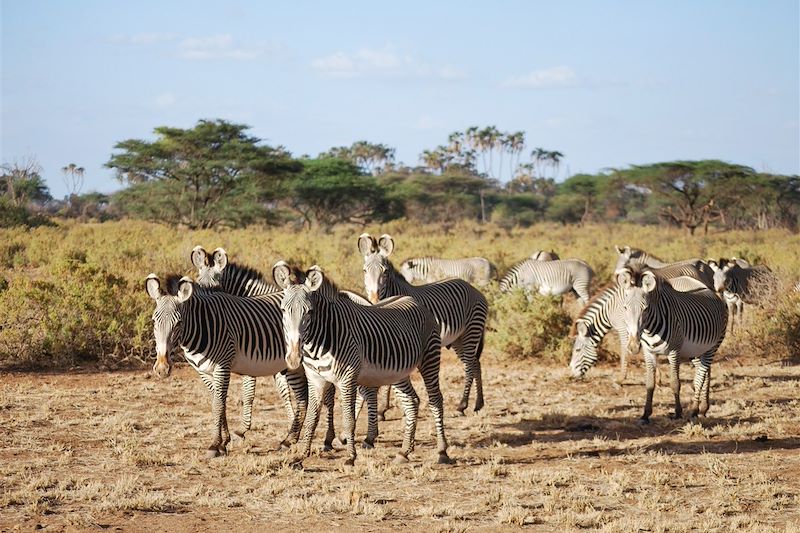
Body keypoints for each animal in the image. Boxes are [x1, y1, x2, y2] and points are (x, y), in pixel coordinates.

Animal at [144, 274, 310, 458]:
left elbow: (218, 405)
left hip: (294, 363)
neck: (203, 325)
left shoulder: (223, 365)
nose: (162, 368)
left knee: (303, 396)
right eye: (153, 321)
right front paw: (224, 442)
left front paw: (215, 445)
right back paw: (292, 438)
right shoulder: (203, 371)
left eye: (179, 323)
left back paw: (290, 440)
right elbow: (220, 402)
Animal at [274, 262, 450, 466]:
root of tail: (412, 299)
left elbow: (349, 420)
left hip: (430, 357)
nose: (294, 358)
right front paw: (300, 456)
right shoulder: (315, 379)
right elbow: (311, 419)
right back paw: (404, 452)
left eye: (309, 311)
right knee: (411, 402)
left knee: (436, 400)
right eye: (283, 310)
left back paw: (442, 452)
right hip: (398, 371)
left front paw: (350, 457)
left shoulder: (347, 379)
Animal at [360, 234, 488, 416]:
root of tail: (474, 289)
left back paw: (462, 405)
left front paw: (383, 408)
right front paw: (384, 407)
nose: (374, 299)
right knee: (475, 363)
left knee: (470, 365)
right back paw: (478, 403)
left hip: (471, 331)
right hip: (458, 339)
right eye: (365, 271)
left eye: (385, 272)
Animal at [572, 274, 708, 382]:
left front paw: (621, 378)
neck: (609, 309)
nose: (571, 375)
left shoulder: (623, 328)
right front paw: (658, 377)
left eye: (577, 350)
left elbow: (624, 350)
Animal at [616, 268, 728, 422]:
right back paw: (704, 408)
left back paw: (694, 410)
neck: (650, 329)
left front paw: (678, 412)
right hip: (697, 350)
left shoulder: (674, 351)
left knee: (700, 375)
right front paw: (645, 414)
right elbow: (649, 383)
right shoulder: (649, 353)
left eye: (645, 309)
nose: (633, 346)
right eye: (625, 307)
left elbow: (675, 383)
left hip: (714, 345)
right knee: (706, 372)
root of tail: (712, 291)